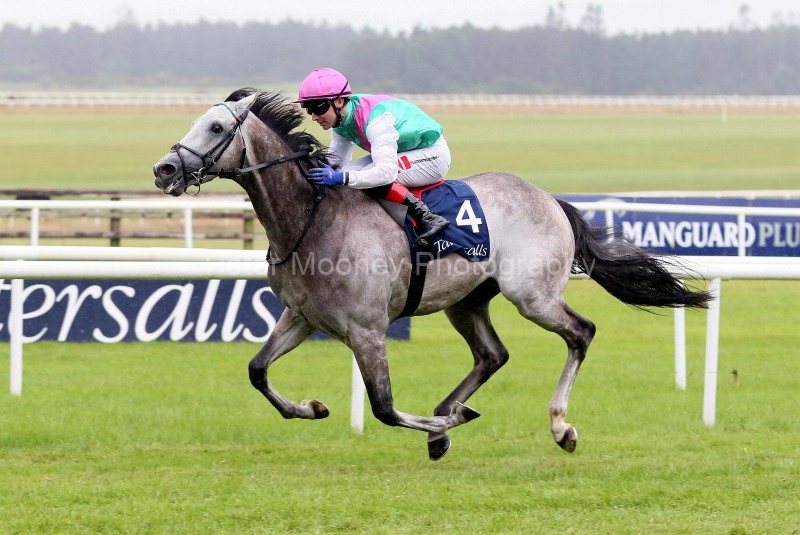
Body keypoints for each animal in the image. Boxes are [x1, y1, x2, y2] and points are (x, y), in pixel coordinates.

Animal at [153, 89, 711, 460]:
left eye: (217, 129)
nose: (164, 170)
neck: (311, 220)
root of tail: (550, 198)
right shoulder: (304, 317)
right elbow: (257, 370)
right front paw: (312, 408)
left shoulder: (367, 330)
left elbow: (384, 407)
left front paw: (441, 422)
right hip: (467, 300)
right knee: (493, 354)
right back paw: (452, 418)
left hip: (531, 295)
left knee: (581, 332)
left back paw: (557, 427)